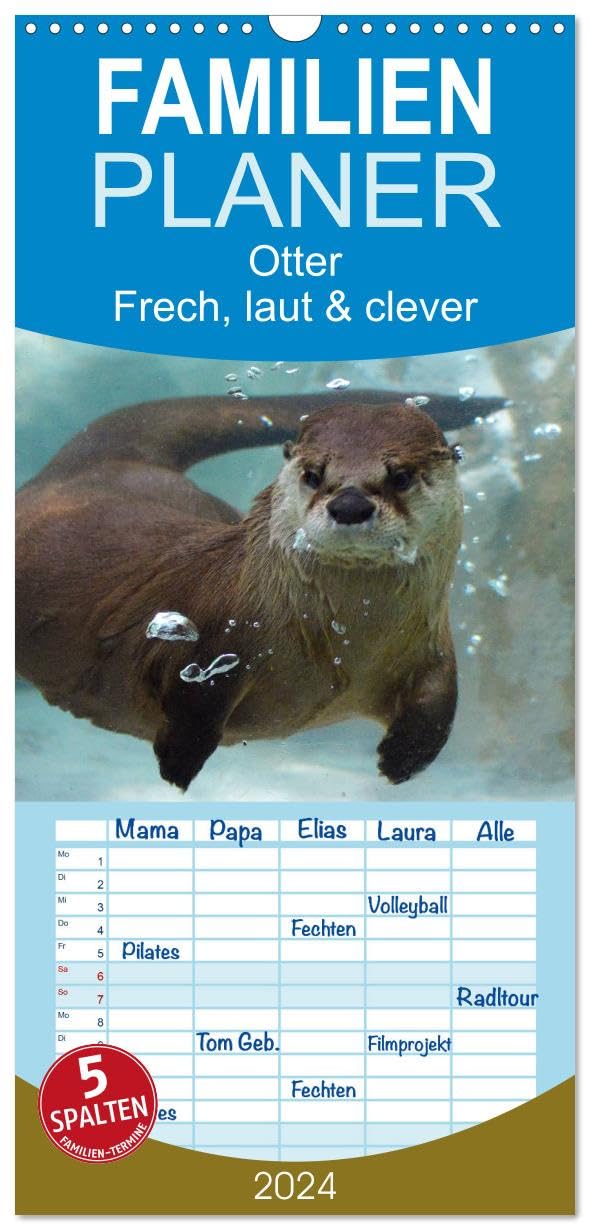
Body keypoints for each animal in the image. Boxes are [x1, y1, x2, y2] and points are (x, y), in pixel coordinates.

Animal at [16, 389, 502, 791]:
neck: (345, 644)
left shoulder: (431, 646)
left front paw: (403, 759)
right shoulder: (212, 634)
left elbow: (440, 700)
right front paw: (179, 760)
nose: (349, 504)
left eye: (400, 476)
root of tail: (95, 467)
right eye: (313, 474)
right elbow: (194, 697)